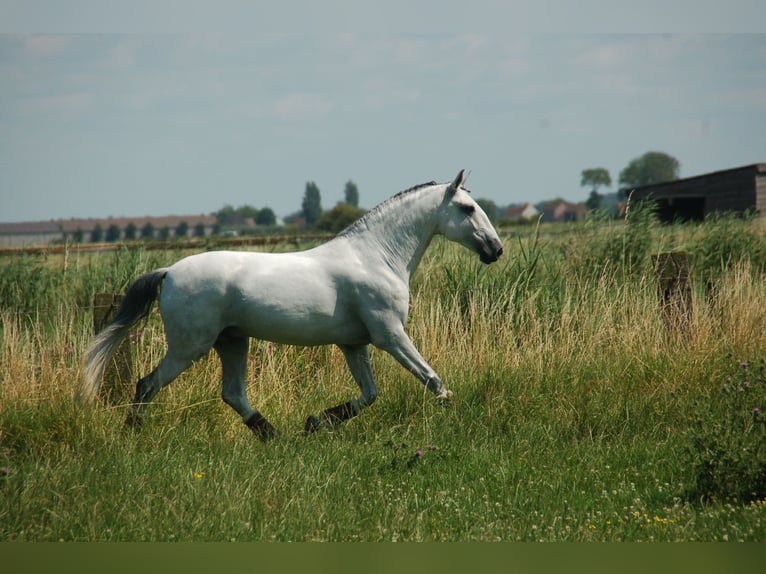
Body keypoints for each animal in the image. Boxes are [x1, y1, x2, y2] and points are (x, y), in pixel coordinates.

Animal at [81, 170, 508, 440]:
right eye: (468, 209)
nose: (496, 250)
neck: (376, 257)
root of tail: (168, 272)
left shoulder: (355, 344)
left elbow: (369, 395)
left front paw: (316, 422)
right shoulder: (390, 335)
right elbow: (432, 379)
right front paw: (454, 418)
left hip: (232, 342)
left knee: (233, 395)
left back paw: (276, 436)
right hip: (190, 347)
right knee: (147, 384)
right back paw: (132, 435)